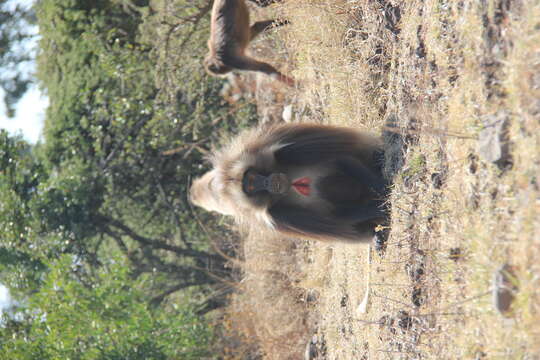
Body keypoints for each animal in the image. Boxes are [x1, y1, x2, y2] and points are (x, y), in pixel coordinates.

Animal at [190, 122, 388, 243]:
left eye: (252, 178)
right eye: (252, 187)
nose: (270, 182)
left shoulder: (284, 151)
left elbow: (340, 158)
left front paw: (385, 190)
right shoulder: (278, 216)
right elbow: (339, 217)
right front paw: (384, 204)